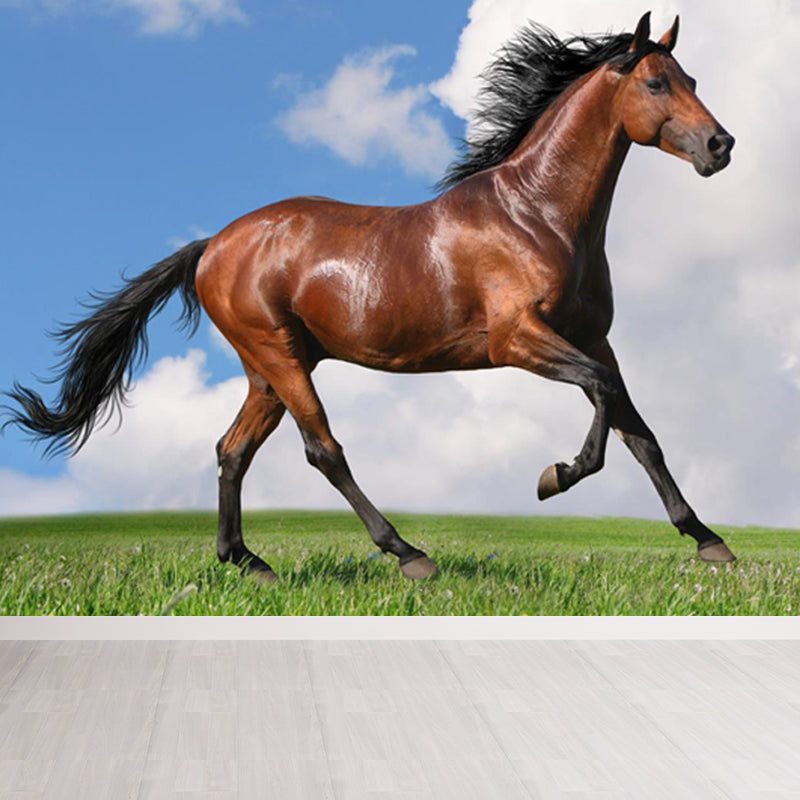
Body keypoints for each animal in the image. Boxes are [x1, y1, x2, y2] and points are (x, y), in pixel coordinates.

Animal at [4, 13, 736, 582]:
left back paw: (249, 562)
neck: (537, 215)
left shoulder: (593, 337)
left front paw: (708, 541)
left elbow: (639, 431)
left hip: (268, 369)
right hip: (279, 357)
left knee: (232, 450)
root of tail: (213, 244)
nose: (720, 145)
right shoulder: (518, 339)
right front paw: (554, 476)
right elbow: (604, 402)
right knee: (322, 449)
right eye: (656, 82)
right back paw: (408, 554)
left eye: (693, 81)